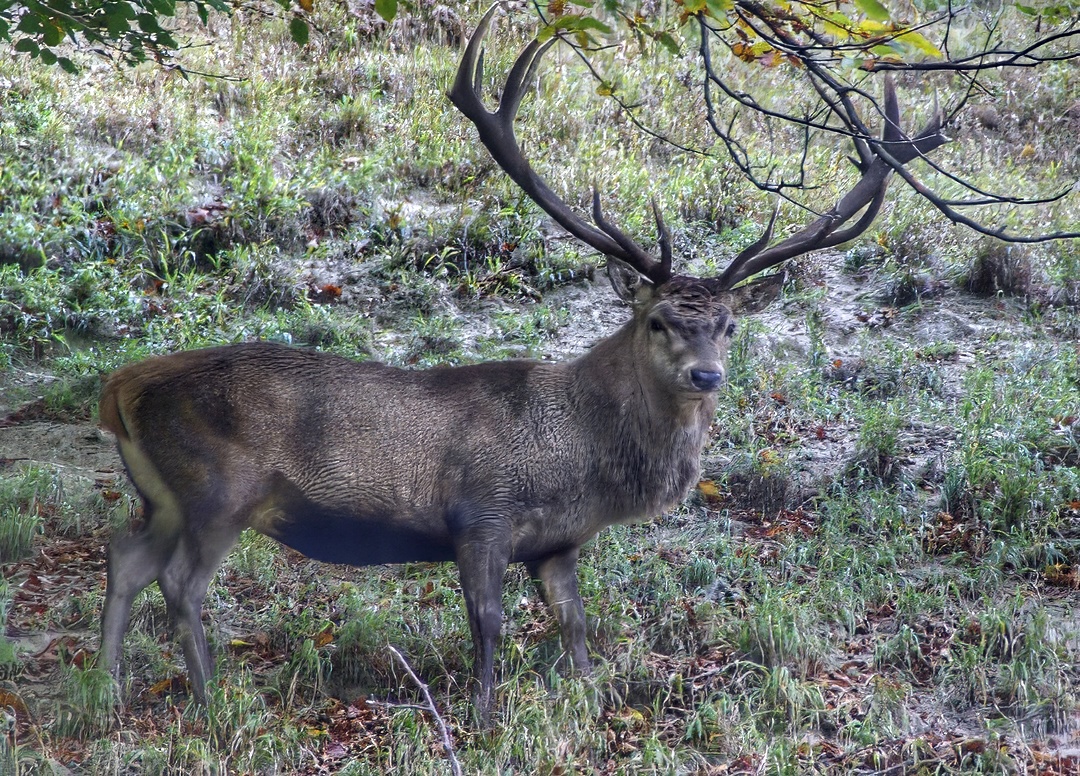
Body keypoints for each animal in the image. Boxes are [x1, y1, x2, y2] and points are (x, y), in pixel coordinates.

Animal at [96, 6, 946, 724]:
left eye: (730, 326)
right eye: (659, 320)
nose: (707, 376)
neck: (579, 457)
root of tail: (119, 387)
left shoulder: (557, 544)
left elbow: (576, 627)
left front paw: (593, 698)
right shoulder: (481, 514)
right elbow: (490, 625)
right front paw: (484, 717)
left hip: (162, 497)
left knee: (125, 558)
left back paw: (105, 688)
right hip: (218, 488)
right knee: (178, 581)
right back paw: (208, 700)